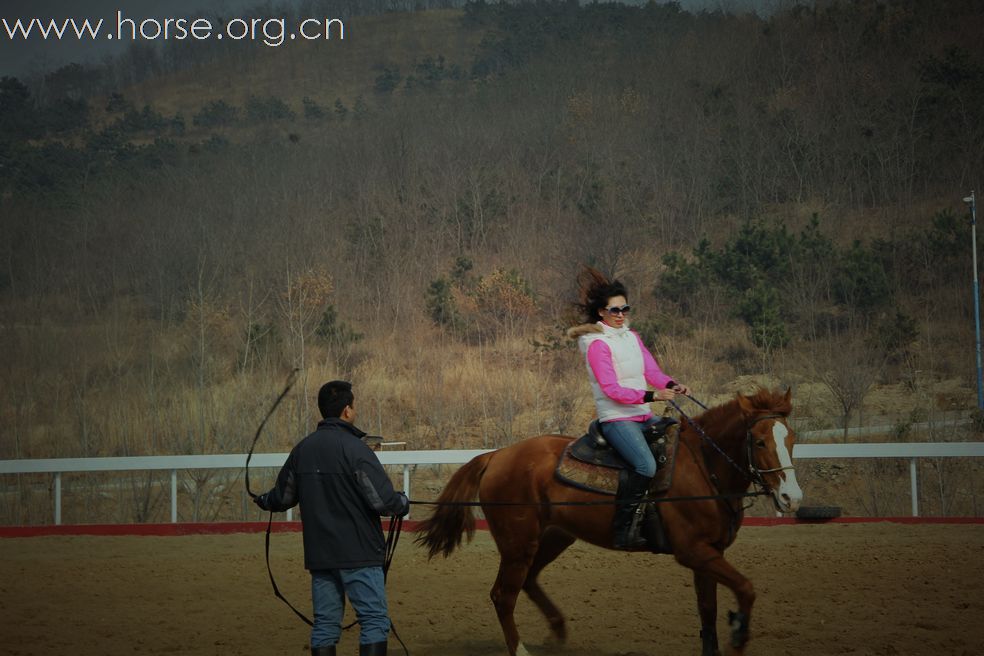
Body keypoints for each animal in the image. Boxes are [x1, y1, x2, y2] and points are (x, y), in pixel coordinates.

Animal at [418, 390, 804, 656]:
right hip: (518, 544)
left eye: (791, 438)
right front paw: (739, 635)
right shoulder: (693, 552)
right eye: (759, 441)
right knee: (503, 595)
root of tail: (496, 455)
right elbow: (746, 588)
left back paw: (557, 632)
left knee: (527, 581)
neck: (703, 467)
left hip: (555, 538)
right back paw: (521, 650)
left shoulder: (710, 554)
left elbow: (707, 611)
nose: (792, 497)